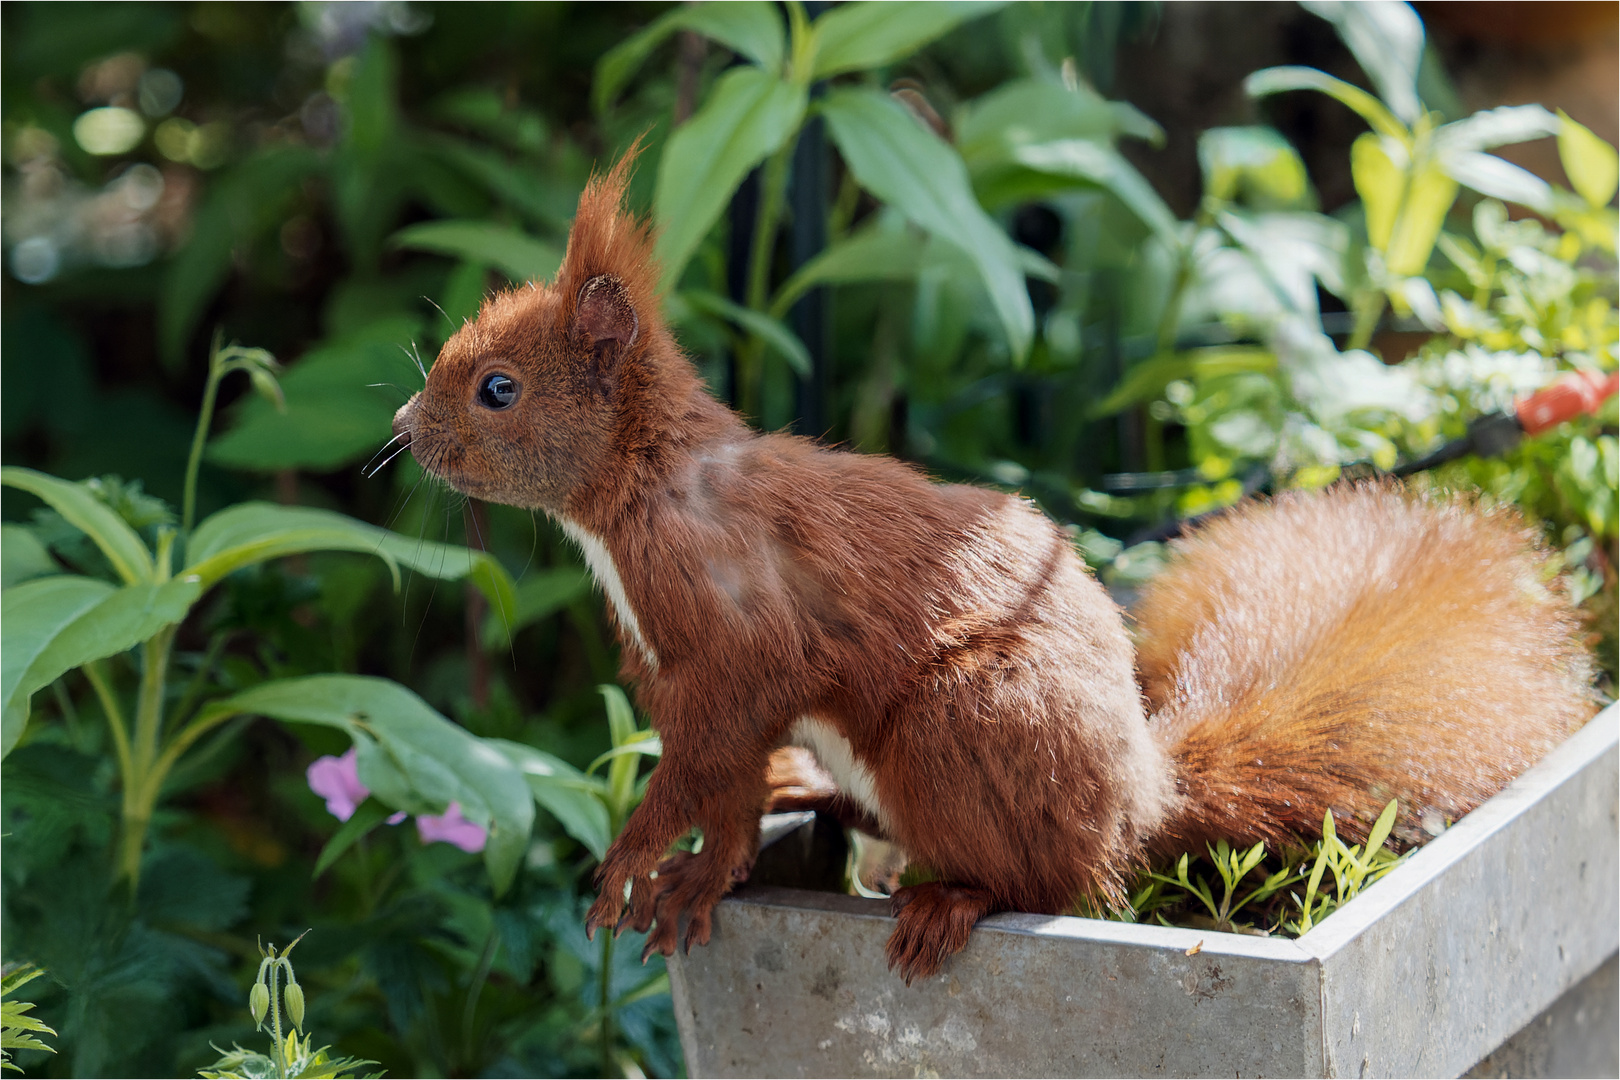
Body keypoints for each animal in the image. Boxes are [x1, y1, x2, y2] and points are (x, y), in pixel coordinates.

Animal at [388, 153, 1594, 990]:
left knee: (1042, 884)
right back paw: (809, 791)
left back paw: (950, 902)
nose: (402, 428)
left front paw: (635, 859)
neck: (643, 495)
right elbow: (724, 793)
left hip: (961, 725)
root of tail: (1139, 803)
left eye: (498, 388)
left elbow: (705, 764)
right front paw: (702, 871)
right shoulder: (671, 666)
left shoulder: (736, 648)